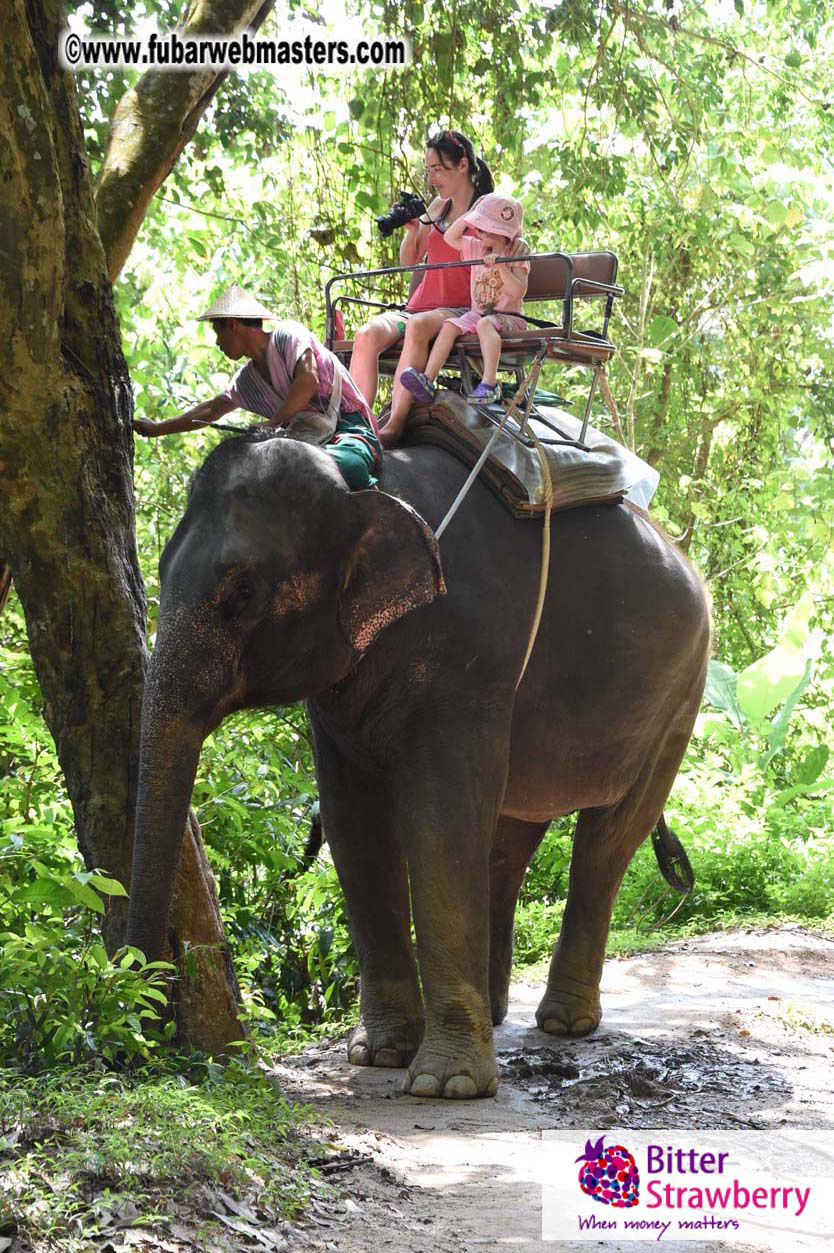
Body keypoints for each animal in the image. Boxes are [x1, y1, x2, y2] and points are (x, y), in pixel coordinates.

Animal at [126, 427, 710, 1099]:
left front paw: (444, 1084)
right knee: (513, 838)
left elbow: (439, 820)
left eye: (242, 593)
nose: (143, 1046)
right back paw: (497, 1013)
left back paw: (564, 1023)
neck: (367, 487)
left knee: (608, 839)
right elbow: (355, 823)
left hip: (681, 695)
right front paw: (378, 1054)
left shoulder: (466, 656)